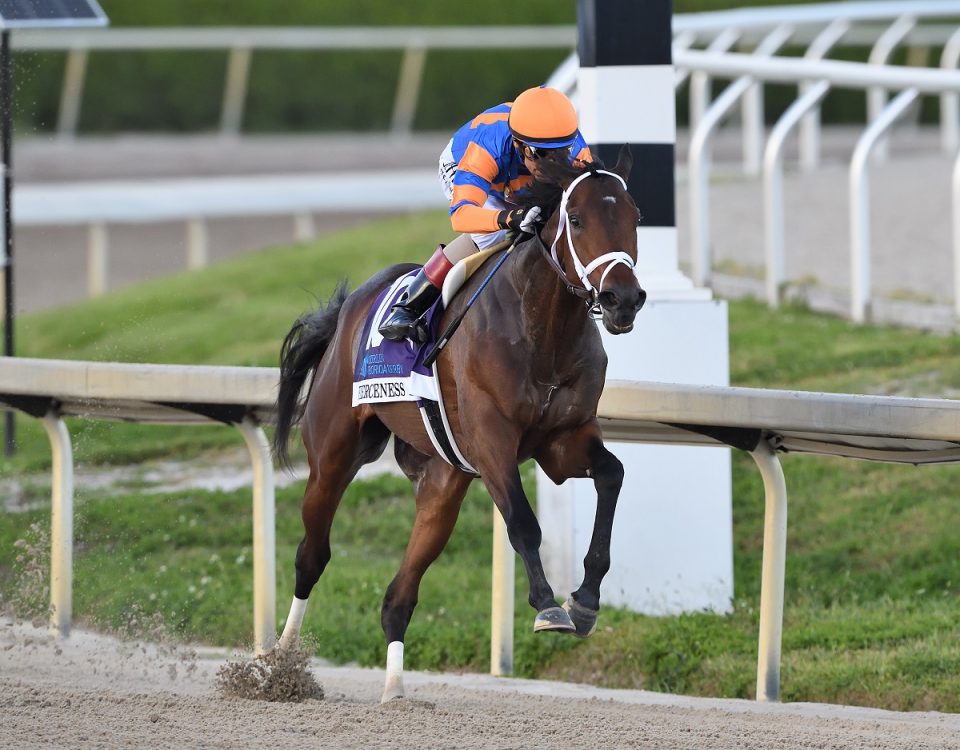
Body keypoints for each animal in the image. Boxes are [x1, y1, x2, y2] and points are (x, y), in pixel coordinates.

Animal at [270, 144, 644, 704]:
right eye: (576, 219)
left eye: (635, 218)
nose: (623, 298)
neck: (541, 331)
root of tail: (348, 313)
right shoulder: (492, 443)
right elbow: (522, 522)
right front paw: (548, 606)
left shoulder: (563, 442)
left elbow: (612, 475)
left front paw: (585, 599)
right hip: (334, 454)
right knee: (311, 555)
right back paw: (277, 664)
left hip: (443, 482)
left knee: (398, 597)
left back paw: (395, 691)